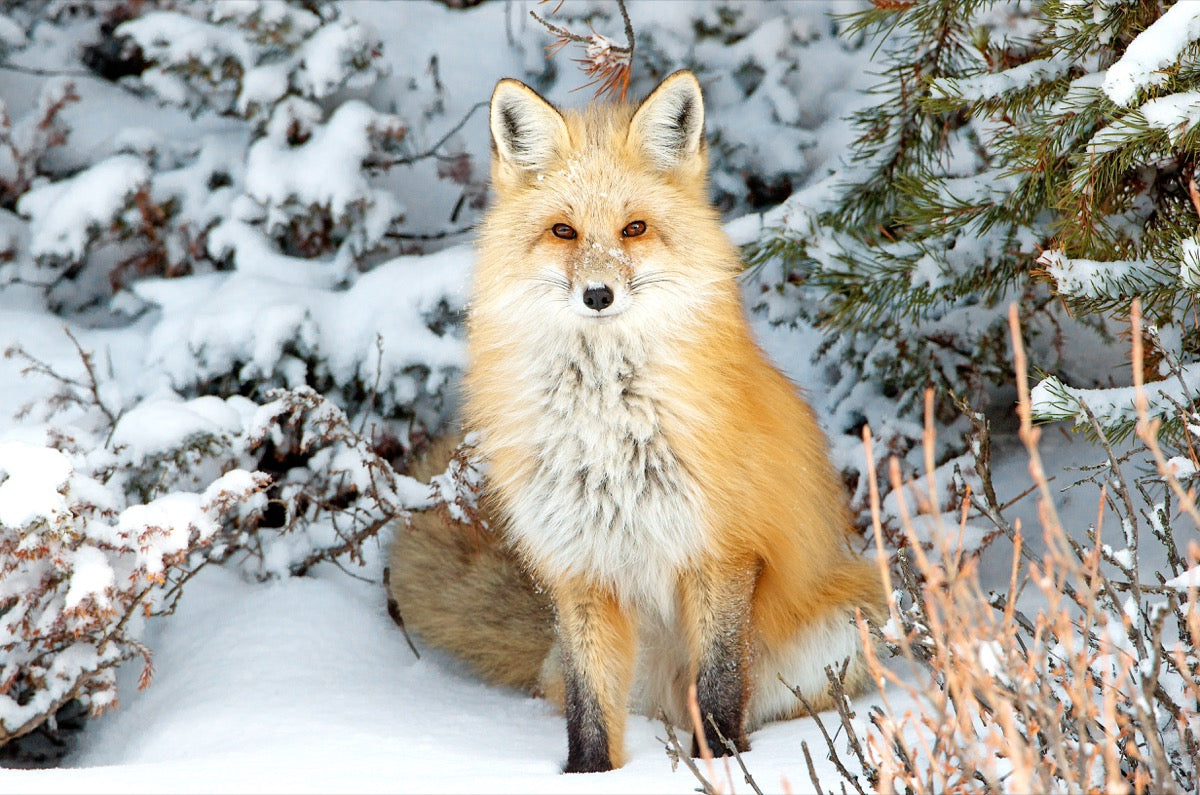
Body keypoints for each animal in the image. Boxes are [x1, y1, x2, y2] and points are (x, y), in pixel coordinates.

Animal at [387, 70, 884, 774]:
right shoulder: (579, 569)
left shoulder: (721, 552)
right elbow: (591, 707)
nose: (598, 295)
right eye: (564, 231)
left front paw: (725, 766)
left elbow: (719, 684)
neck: (607, 424)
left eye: (635, 228)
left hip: (844, 627)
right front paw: (589, 778)